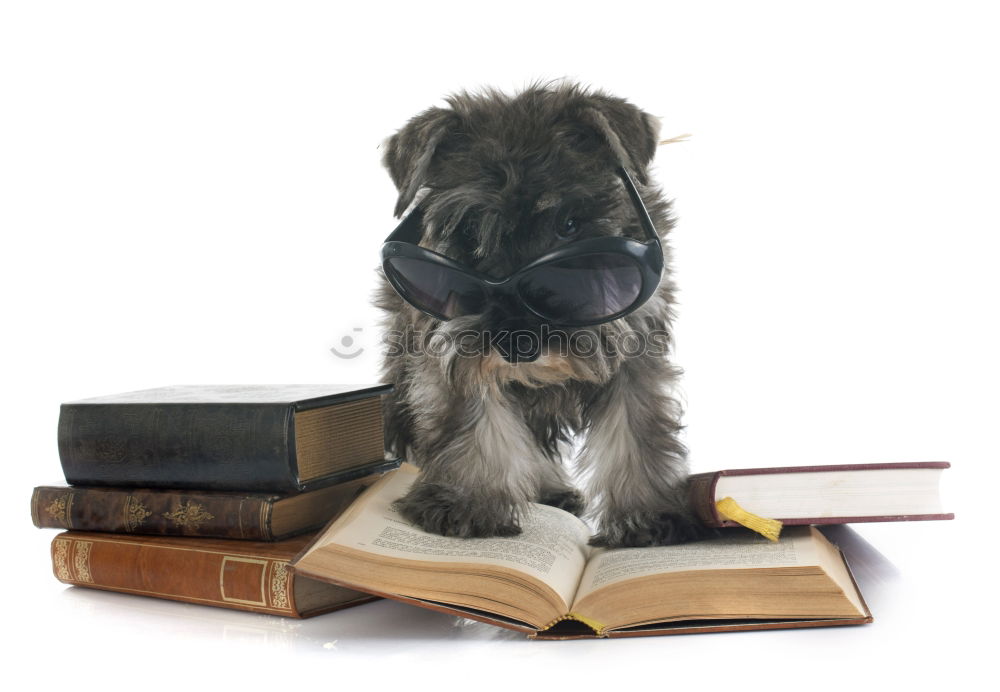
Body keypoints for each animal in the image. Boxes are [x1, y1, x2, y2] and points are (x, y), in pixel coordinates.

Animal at [374, 79, 704, 548]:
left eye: (569, 224)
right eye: (470, 229)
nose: (517, 344)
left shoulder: (637, 350)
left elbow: (637, 428)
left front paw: (647, 515)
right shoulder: (446, 349)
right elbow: (474, 421)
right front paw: (467, 502)